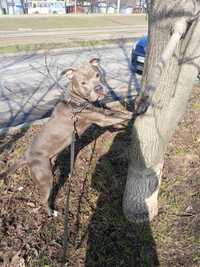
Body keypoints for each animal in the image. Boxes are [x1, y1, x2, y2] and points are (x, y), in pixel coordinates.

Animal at [0, 58, 134, 216]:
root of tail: (26, 155)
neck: (77, 101)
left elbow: (120, 114)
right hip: (45, 177)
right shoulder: (102, 118)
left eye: (97, 75)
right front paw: (140, 112)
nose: (99, 88)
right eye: (83, 83)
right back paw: (51, 213)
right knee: (43, 198)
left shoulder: (104, 111)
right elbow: (122, 116)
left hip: (50, 165)